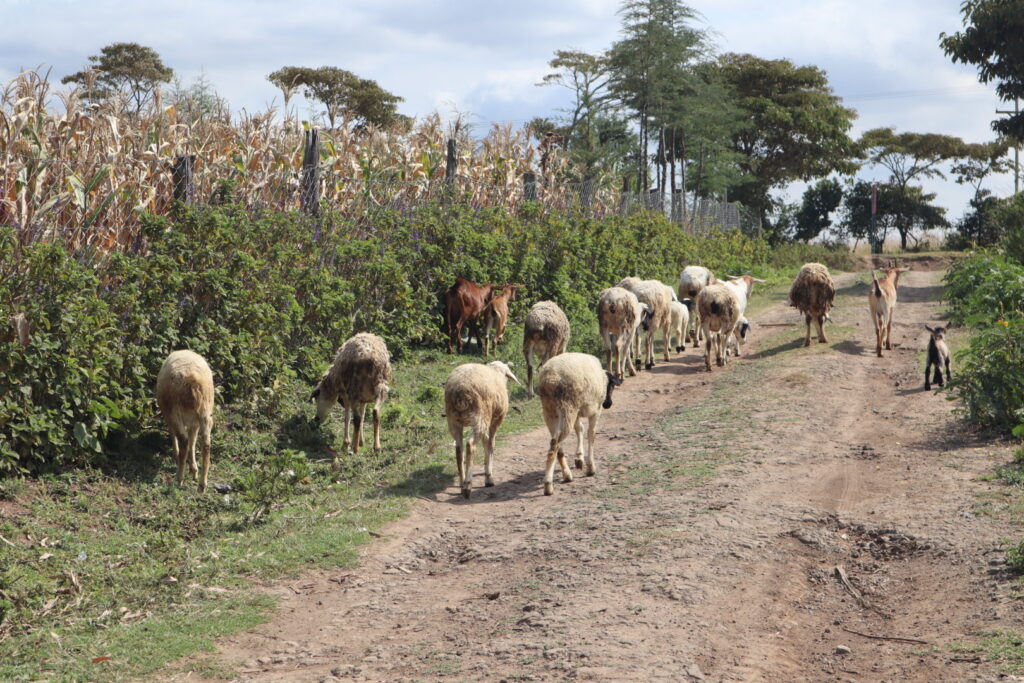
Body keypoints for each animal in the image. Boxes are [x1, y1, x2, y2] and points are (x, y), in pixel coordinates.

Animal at [155, 352, 216, 491]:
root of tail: (193, 383)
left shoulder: (170, 415)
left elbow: (174, 434)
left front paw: (176, 456)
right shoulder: (195, 422)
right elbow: (193, 442)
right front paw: (193, 469)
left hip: (175, 412)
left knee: (183, 440)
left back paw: (179, 478)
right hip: (205, 412)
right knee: (205, 444)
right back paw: (202, 484)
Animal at [444, 360, 520, 499]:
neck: (497, 372)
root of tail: (460, 390)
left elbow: (486, 440)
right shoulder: (496, 419)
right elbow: (491, 443)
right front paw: (488, 476)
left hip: (454, 420)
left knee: (459, 449)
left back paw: (462, 484)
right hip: (480, 416)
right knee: (470, 445)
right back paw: (468, 486)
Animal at [536, 352, 622, 497]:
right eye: (612, 386)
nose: (608, 404)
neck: (603, 378)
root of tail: (549, 379)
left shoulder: (578, 412)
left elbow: (579, 429)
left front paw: (579, 458)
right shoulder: (596, 410)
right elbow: (591, 434)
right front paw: (591, 468)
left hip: (550, 410)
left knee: (556, 442)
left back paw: (567, 475)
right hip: (567, 407)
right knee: (554, 445)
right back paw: (548, 485)